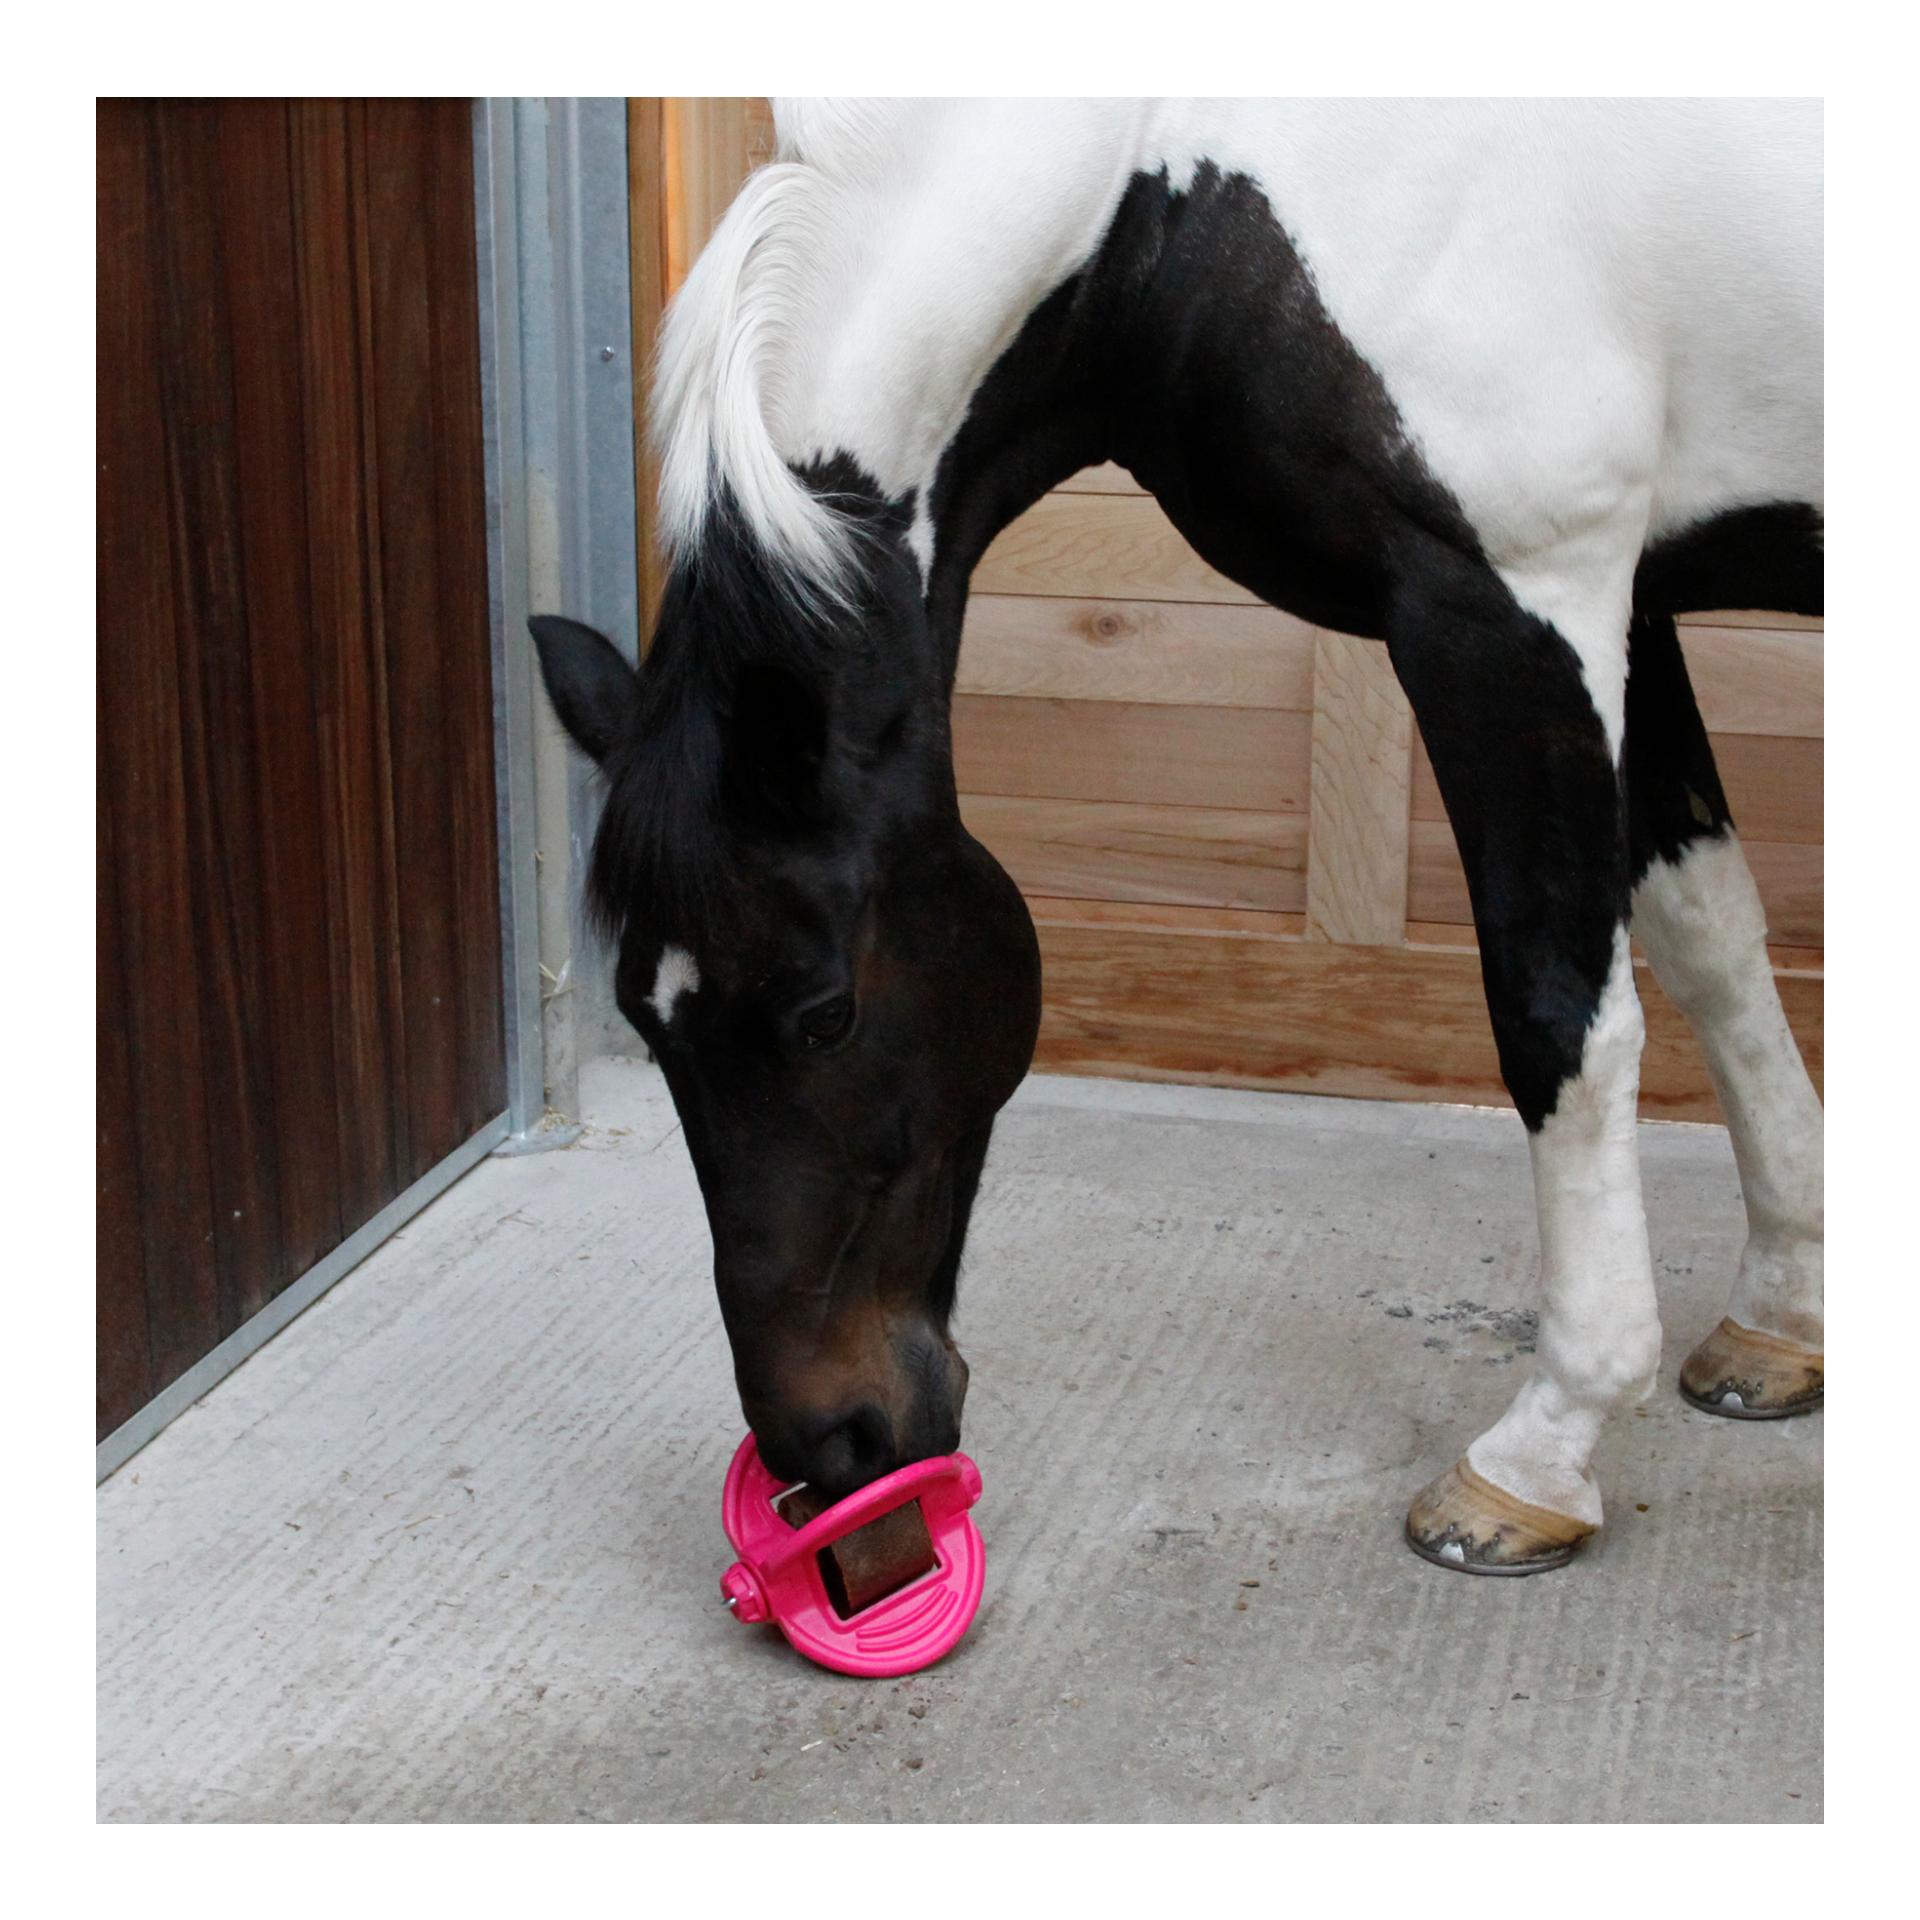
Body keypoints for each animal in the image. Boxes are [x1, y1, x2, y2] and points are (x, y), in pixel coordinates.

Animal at [531, 98, 1822, 1575]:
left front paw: (1541, 1454)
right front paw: (1784, 1315)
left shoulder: (1518, 602)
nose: (832, 1447)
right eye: (648, 1020)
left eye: (826, 1013)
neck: (1177, 189)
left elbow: (1558, 1014)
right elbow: (1712, 941)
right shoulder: (1630, 597)